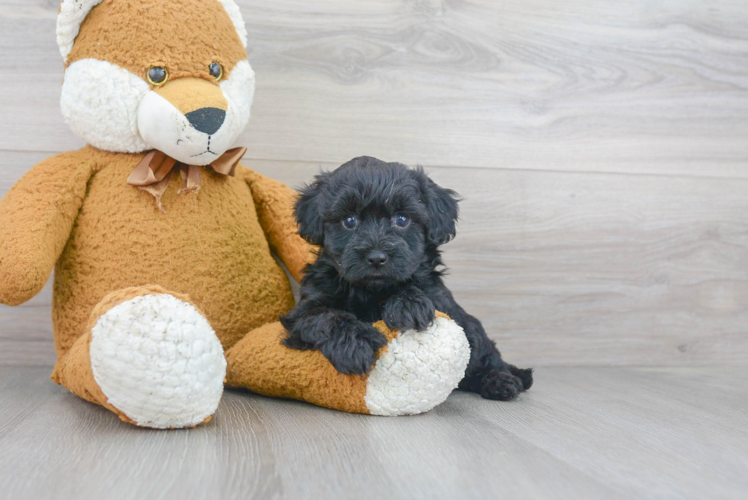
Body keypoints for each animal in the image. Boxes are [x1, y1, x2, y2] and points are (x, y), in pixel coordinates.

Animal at [280, 158, 532, 400]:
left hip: (472, 331)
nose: (376, 257)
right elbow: (324, 316)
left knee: (485, 356)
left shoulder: (442, 300)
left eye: (401, 219)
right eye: (349, 221)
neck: (370, 290)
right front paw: (355, 344)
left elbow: (416, 287)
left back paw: (501, 381)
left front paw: (408, 304)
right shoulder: (304, 309)